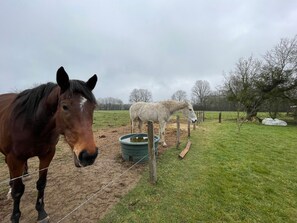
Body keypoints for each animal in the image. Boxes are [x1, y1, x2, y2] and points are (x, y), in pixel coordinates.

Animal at [0, 66, 99, 223]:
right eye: (64, 107)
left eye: (93, 107)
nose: (89, 155)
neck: (32, 124)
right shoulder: (15, 159)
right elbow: (18, 191)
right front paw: (15, 217)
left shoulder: (47, 155)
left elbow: (41, 183)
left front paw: (41, 212)